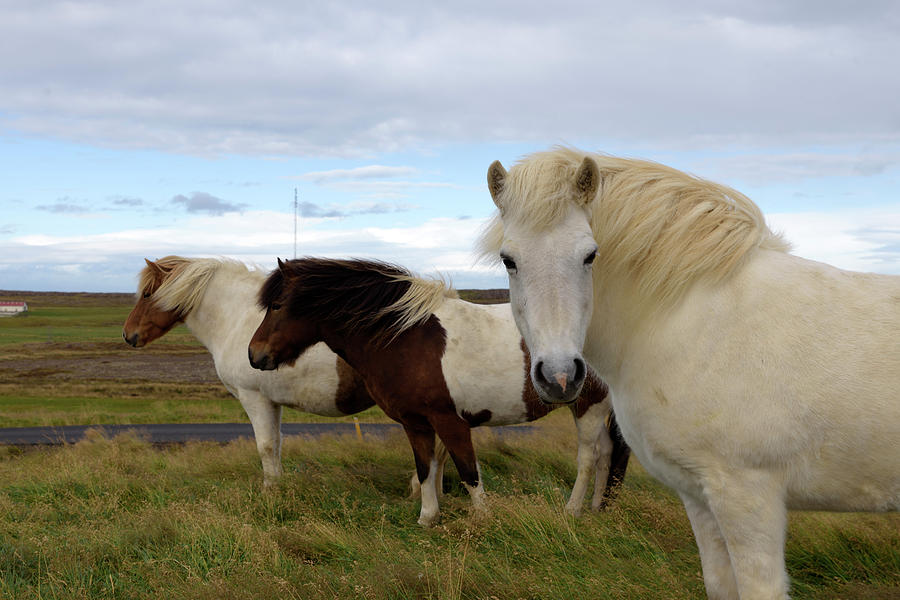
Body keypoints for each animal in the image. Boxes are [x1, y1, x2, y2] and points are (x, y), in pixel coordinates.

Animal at [123, 256, 377, 488]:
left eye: (147, 294)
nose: (127, 334)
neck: (239, 319)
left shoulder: (253, 397)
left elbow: (265, 446)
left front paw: (270, 491)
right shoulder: (271, 401)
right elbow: (276, 444)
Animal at [247, 257, 630, 526]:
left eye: (277, 305)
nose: (254, 355)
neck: (407, 339)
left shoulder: (450, 421)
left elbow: (468, 471)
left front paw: (482, 519)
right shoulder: (415, 423)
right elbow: (425, 468)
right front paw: (428, 518)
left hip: (588, 406)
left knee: (589, 458)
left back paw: (572, 510)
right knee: (607, 454)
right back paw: (597, 508)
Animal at [478, 146, 900, 599]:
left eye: (590, 255)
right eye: (509, 260)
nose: (560, 376)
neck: (688, 318)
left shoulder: (748, 498)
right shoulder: (699, 496)